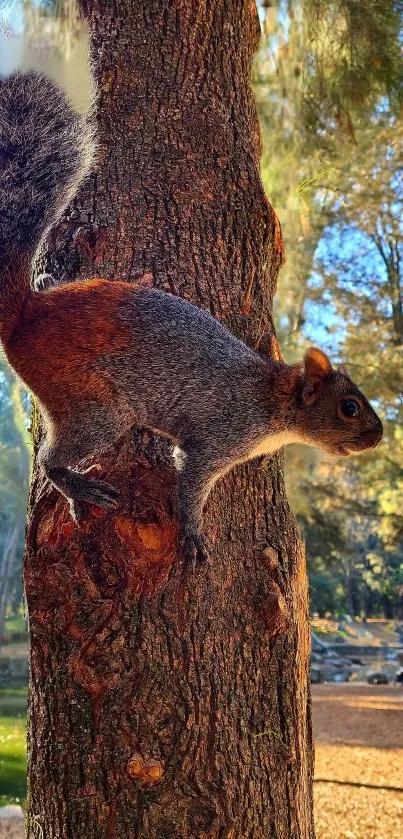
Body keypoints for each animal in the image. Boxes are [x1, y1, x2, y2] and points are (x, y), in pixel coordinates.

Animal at [0, 72, 386, 564]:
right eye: (349, 408)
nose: (378, 437)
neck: (273, 400)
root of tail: (25, 318)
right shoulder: (216, 438)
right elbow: (190, 485)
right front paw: (194, 533)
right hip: (93, 404)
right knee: (51, 459)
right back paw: (78, 486)